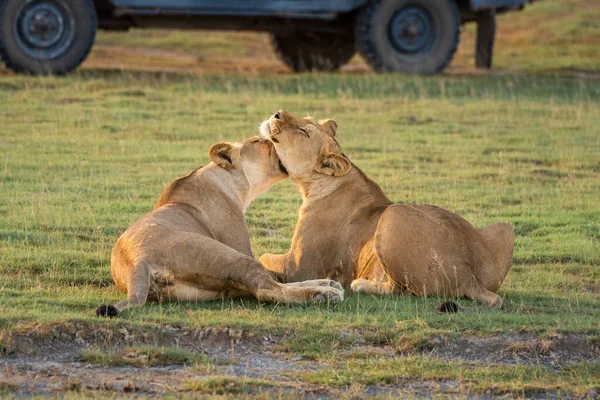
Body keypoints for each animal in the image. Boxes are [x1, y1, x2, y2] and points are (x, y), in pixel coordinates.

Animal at [97, 136, 342, 318]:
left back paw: (326, 285)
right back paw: (323, 294)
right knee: (265, 289)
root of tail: (138, 260)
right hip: (227, 256)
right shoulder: (240, 246)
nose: (273, 137)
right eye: (258, 141)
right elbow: (277, 276)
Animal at [258, 111, 516, 308]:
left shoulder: (301, 268)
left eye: (304, 131)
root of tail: (470, 278)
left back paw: (359, 284)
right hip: (504, 227)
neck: (318, 184)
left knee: (399, 289)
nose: (277, 113)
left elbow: (264, 257)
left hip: (393, 214)